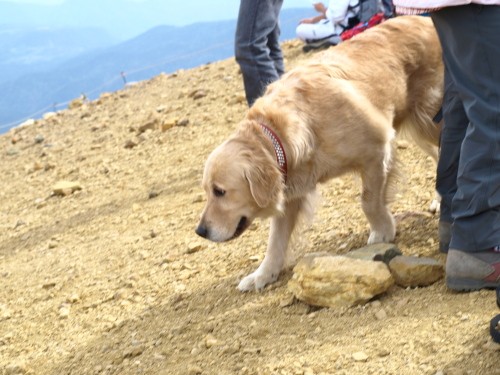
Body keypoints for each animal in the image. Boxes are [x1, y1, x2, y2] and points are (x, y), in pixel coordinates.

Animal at [194, 16, 442, 292]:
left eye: (220, 191)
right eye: (207, 191)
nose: (201, 231)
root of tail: (424, 18)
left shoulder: (378, 150)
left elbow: (368, 201)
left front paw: (382, 231)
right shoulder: (290, 190)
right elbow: (275, 241)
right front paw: (262, 274)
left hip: (431, 118)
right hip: (420, 125)